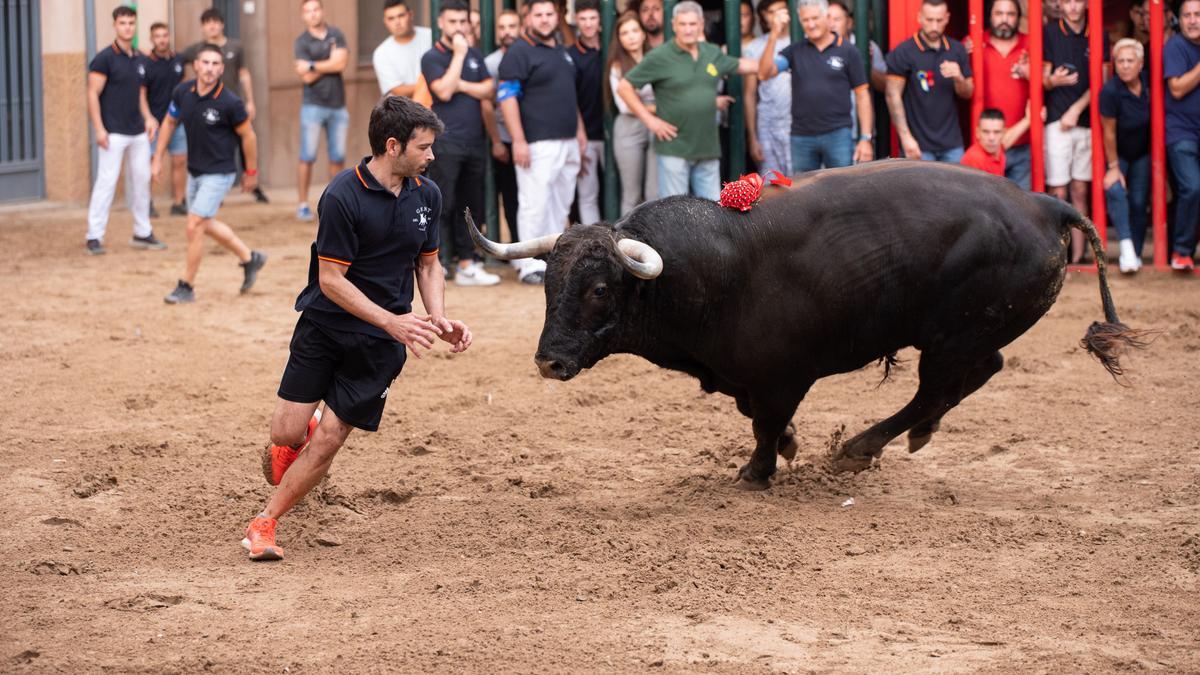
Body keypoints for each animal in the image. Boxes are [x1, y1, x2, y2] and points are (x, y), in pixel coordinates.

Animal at [465, 159, 1142, 485]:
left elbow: (764, 425)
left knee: (940, 386)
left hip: (952, 337)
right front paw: (787, 447)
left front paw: (758, 472)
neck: (716, 265)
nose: (549, 360)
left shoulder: (782, 376)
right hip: (962, 336)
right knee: (974, 375)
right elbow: (762, 419)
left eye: (601, 289)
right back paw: (906, 439)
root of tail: (1043, 204)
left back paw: (861, 449)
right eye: (550, 286)